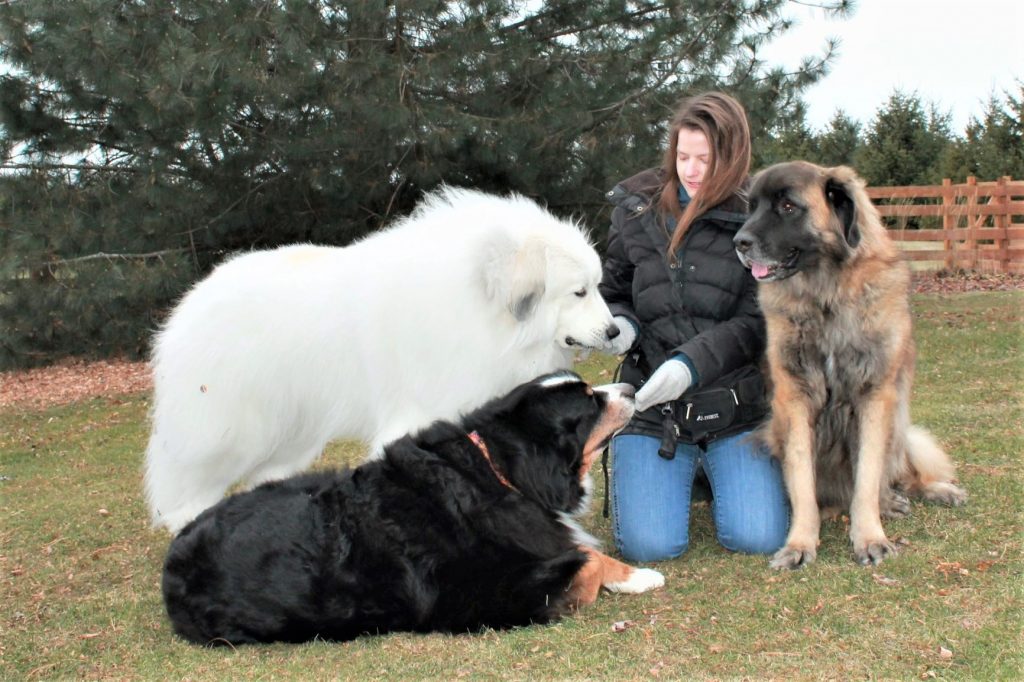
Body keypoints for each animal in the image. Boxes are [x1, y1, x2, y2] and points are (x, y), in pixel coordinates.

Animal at [144, 186, 614, 532]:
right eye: (578, 292)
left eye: (597, 286)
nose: (614, 331)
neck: (480, 307)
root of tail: (191, 301)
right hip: (230, 427)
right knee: (192, 484)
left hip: (294, 427)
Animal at [161, 372, 663, 643]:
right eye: (590, 402)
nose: (630, 386)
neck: (499, 471)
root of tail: (174, 559)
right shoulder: (487, 597)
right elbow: (586, 560)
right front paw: (638, 577)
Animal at [733, 161, 962, 565]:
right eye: (753, 207)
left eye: (787, 207)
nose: (739, 242)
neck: (828, 296)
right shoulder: (795, 398)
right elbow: (802, 479)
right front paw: (800, 544)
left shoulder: (874, 395)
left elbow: (867, 476)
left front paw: (869, 536)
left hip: (899, 429)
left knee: (902, 474)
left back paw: (929, 492)